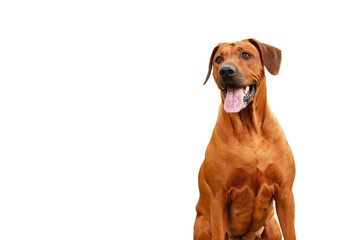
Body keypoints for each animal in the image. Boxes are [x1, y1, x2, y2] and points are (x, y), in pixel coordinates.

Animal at [194, 38, 294, 239]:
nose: (226, 70)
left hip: (272, 226)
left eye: (245, 55)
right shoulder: (218, 197)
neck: (250, 131)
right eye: (218, 59)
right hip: (203, 224)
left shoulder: (286, 193)